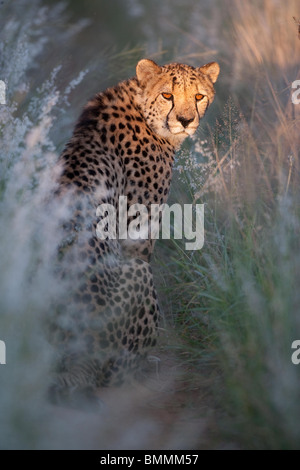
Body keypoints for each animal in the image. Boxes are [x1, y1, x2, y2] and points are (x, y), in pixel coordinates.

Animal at [48, 57, 219, 408]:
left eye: (198, 96)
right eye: (168, 95)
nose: (185, 121)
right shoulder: (136, 234)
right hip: (137, 273)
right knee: (116, 372)